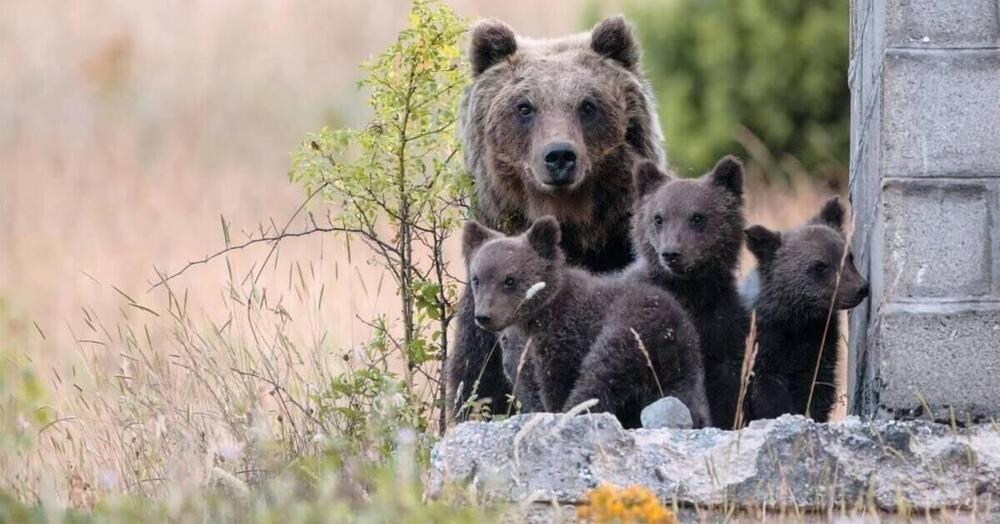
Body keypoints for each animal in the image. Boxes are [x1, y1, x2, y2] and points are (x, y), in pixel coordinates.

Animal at [462, 215, 712, 428]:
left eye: (509, 280)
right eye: (477, 279)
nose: (484, 316)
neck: (540, 316)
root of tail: (668, 330)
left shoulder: (564, 337)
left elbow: (557, 382)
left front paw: (555, 410)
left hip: (628, 331)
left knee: (599, 377)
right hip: (683, 361)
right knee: (686, 397)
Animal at [628, 156, 748, 430]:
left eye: (697, 217)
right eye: (658, 218)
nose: (671, 253)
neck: (690, 290)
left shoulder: (723, 322)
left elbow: (726, 385)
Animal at [748, 196, 872, 422]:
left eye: (848, 257)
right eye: (820, 266)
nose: (861, 288)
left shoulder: (820, 346)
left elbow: (818, 390)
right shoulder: (764, 350)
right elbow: (768, 395)